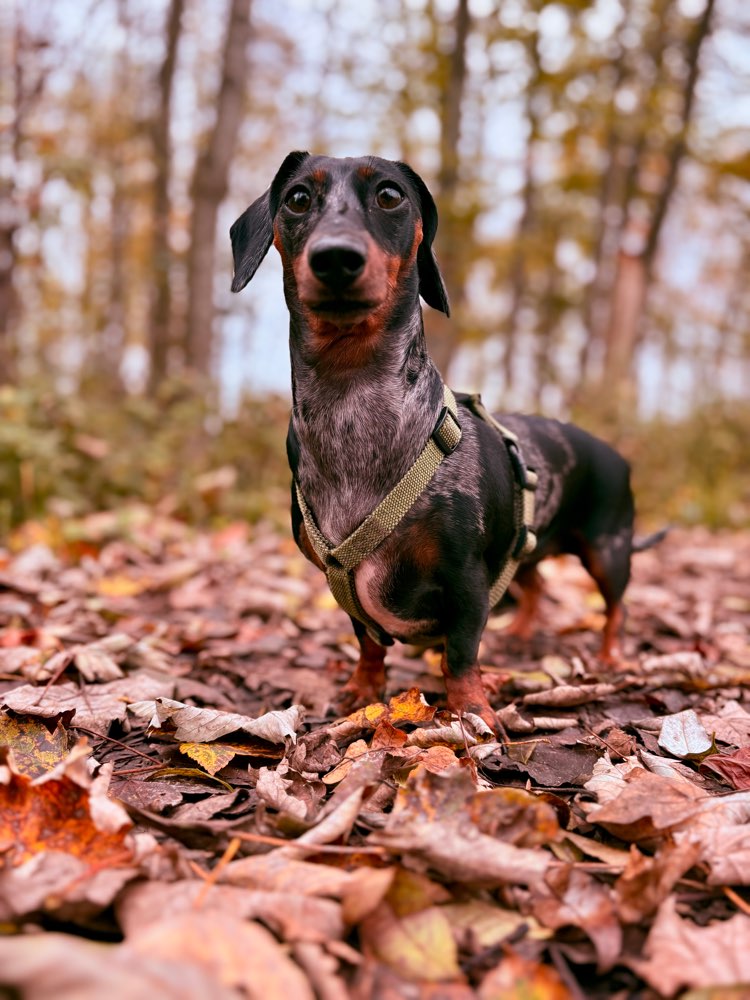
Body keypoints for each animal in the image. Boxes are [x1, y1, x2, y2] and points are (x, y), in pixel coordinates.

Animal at [231, 154, 664, 736]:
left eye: (390, 195)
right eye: (297, 199)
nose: (336, 258)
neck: (354, 410)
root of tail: (613, 451)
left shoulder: (466, 580)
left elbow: (459, 654)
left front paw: (472, 712)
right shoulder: (341, 581)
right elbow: (368, 642)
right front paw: (362, 691)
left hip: (607, 551)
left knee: (617, 607)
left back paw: (611, 654)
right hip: (526, 546)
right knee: (537, 587)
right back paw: (521, 634)